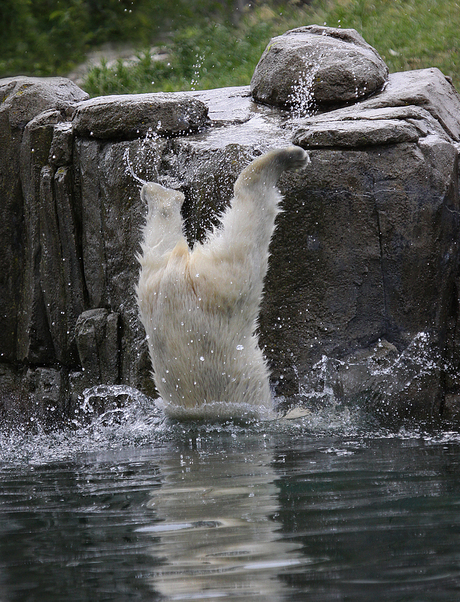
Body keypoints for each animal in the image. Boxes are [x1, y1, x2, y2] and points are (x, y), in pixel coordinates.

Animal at [137, 145, 310, 418]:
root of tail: (178, 274)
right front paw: (301, 411)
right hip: (221, 293)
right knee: (248, 229)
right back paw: (287, 158)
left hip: (151, 286)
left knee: (158, 242)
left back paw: (158, 193)